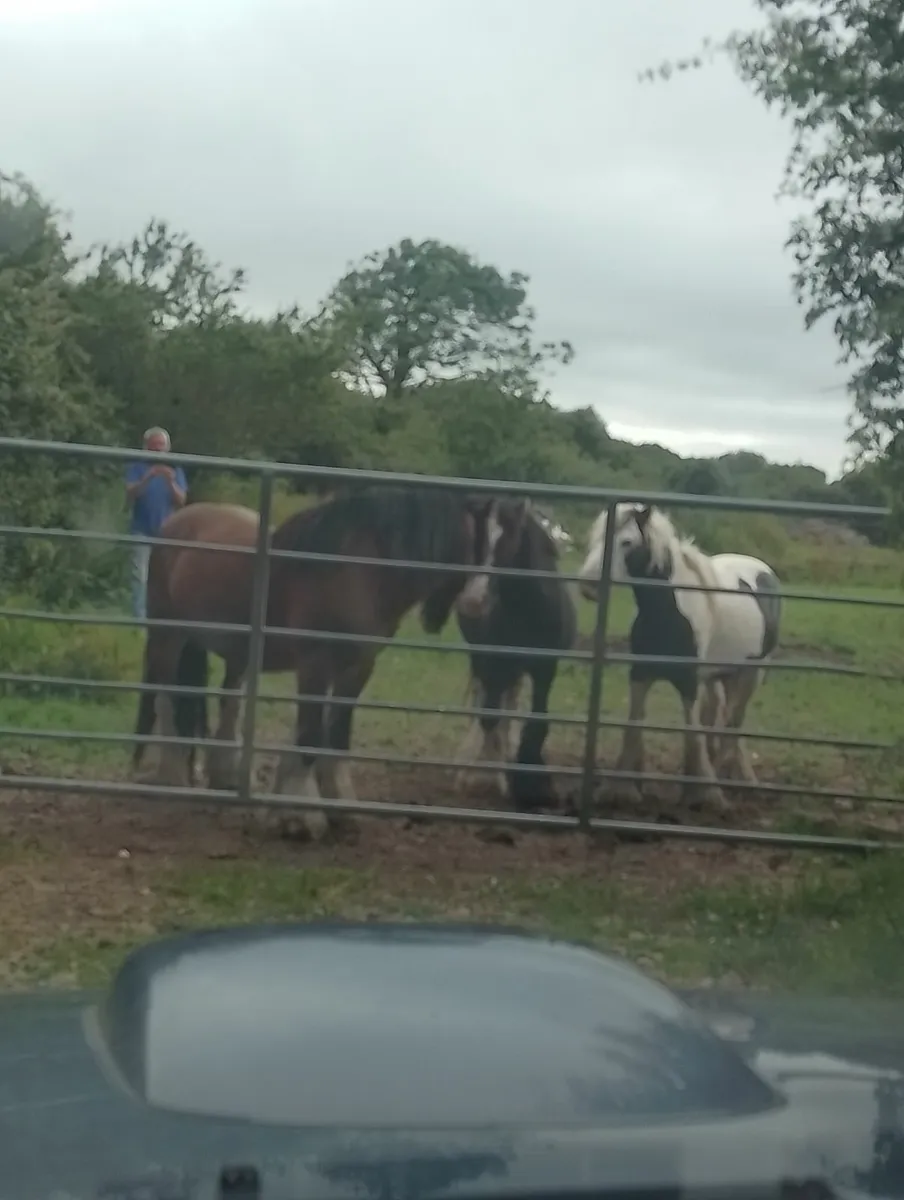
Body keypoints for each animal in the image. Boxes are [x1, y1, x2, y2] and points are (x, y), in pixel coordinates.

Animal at [132, 488, 501, 828]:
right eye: (469, 544)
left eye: (498, 549)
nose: (478, 604)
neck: (357, 574)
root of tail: (177, 521)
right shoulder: (315, 665)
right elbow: (310, 735)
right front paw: (300, 814)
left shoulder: (358, 669)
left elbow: (336, 735)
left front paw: (340, 804)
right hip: (167, 636)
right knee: (167, 699)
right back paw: (174, 777)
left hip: (237, 651)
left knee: (228, 702)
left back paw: (227, 778)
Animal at [455, 498, 577, 810]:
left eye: (508, 538)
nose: (472, 601)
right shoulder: (495, 664)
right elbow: (489, 718)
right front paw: (502, 780)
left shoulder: (545, 669)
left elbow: (536, 722)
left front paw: (534, 784)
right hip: (483, 661)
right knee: (485, 706)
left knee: (509, 706)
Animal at [578, 503, 781, 809]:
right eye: (597, 539)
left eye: (627, 542)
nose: (588, 586)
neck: (668, 611)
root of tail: (763, 570)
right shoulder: (640, 675)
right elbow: (632, 727)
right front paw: (620, 789)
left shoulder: (688, 682)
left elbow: (692, 735)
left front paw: (708, 794)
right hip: (720, 676)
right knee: (720, 718)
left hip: (752, 673)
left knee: (733, 724)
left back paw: (734, 778)